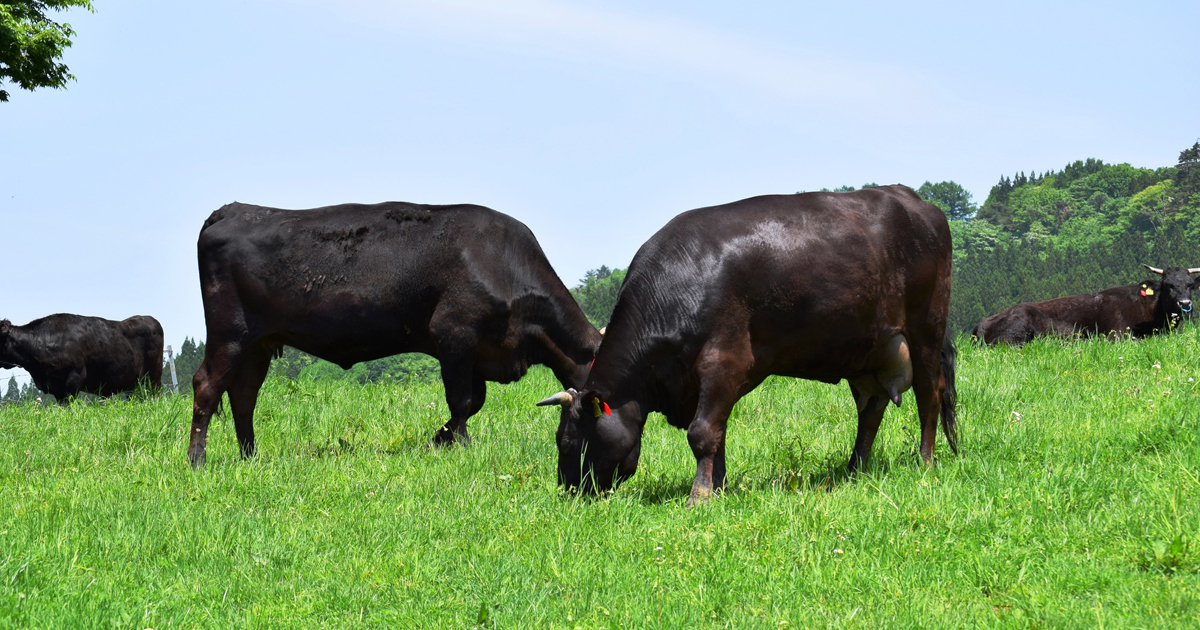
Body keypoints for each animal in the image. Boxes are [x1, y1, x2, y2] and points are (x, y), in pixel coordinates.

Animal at [188, 201, 600, 465]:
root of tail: (232, 209)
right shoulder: (455, 335)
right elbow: (462, 400)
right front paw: (460, 445)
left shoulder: (477, 352)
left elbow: (474, 402)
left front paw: (440, 438)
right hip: (229, 333)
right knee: (207, 384)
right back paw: (197, 460)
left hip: (258, 343)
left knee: (244, 395)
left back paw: (250, 457)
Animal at [535, 184, 955, 504]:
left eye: (568, 443)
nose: (569, 494)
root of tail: (912, 197)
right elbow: (717, 433)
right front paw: (717, 487)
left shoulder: (725, 361)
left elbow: (702, 432)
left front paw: (700, 496)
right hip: (868, 352)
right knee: (870, 410)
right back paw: (853, 470)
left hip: (926, 329)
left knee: (929, 395)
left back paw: (925, 462)